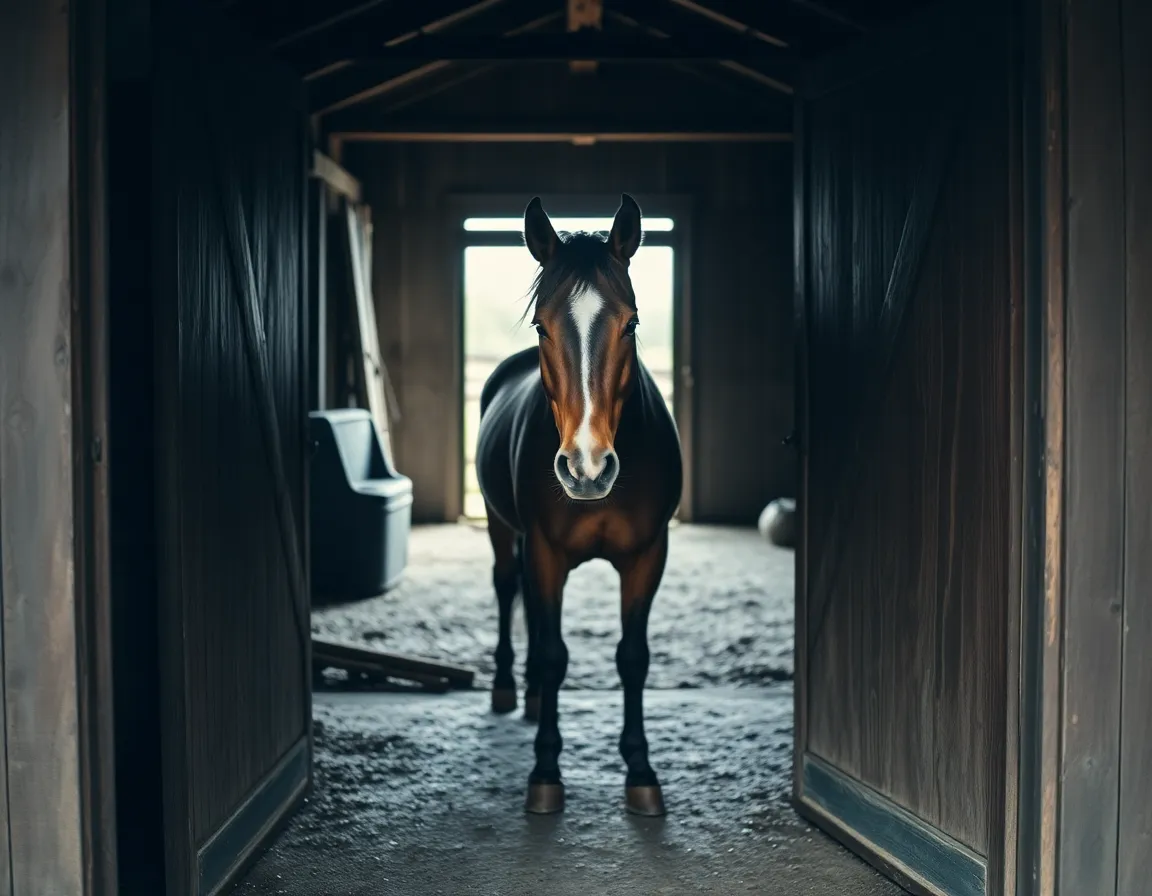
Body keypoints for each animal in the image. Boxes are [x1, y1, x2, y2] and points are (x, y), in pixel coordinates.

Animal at [475, 194, 683, 817]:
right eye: (542, 325)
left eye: (631, 322)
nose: (587, 468)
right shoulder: (545, 552)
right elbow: (552, 654)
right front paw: (545, 772)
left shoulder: (647, 556)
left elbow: (632, 657)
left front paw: (641, 771)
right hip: (500, 526)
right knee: (507, 587)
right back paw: (509, 689)